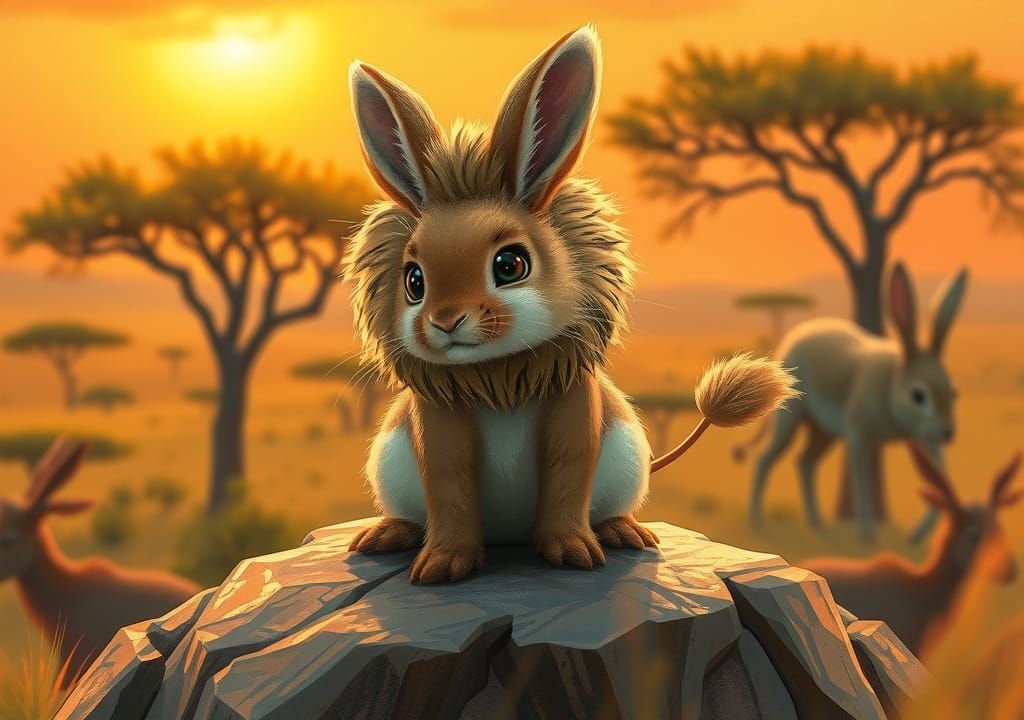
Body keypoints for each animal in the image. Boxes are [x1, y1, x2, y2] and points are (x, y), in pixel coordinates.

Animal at [342, 27, 797, 584]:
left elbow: (567, 474)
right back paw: (385, 535)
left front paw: (574, 551)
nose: (445, 322)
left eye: (510, 264)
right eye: (414, 281)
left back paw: (624, 532)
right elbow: (449, 485)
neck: (498, 377)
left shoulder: (575, 407)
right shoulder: (440, 422)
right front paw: (443, 564)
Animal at [747, 261, 968, 540]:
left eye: (954, 391)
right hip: (790, 418)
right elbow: (861, 476)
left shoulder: (921, 434)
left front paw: (915, 536)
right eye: (918, 395)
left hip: (823, 431)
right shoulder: (859, 433)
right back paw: (756, 521)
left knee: (805, 462)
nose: (948, 433)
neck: (893, 379)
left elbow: (941, 474)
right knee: (766, 458)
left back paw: (817, 522)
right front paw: (867, 533)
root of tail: (793, 338)